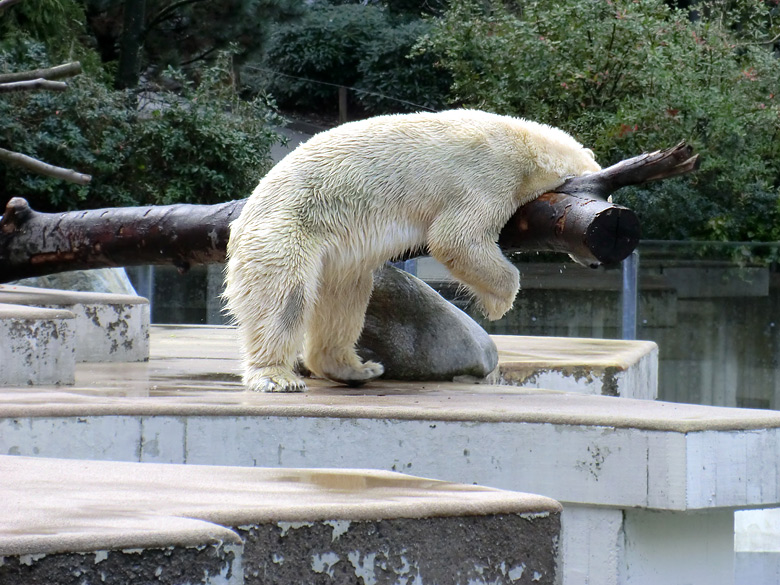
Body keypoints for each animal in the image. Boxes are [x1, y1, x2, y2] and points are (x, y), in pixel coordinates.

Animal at [222, 109, 600, 392]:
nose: (593, 261)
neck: (523, 141)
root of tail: (242, 222)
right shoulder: (488, 176)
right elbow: (455, 238)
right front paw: (499, 304)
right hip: (286, 231)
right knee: (284, 298)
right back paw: (276, 376)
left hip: (332, 251)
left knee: (345, 295)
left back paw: (357, 368)